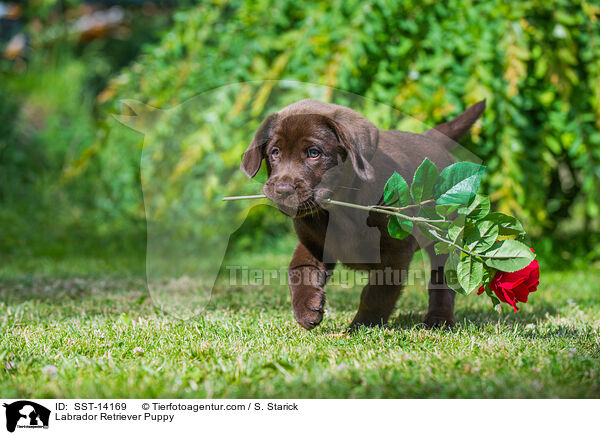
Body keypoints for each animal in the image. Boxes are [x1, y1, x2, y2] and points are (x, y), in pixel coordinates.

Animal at [241, 99, 486, 330]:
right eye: (275, 153)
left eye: (314, 153)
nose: (282, 189)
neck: (340, 211)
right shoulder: (313, 243)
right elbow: (299, 271)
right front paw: (306, 309)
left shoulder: (395, 251)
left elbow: (376, 294)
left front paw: (361, 326)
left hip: (445, 239)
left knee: (443, 280)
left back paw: (439, 320)